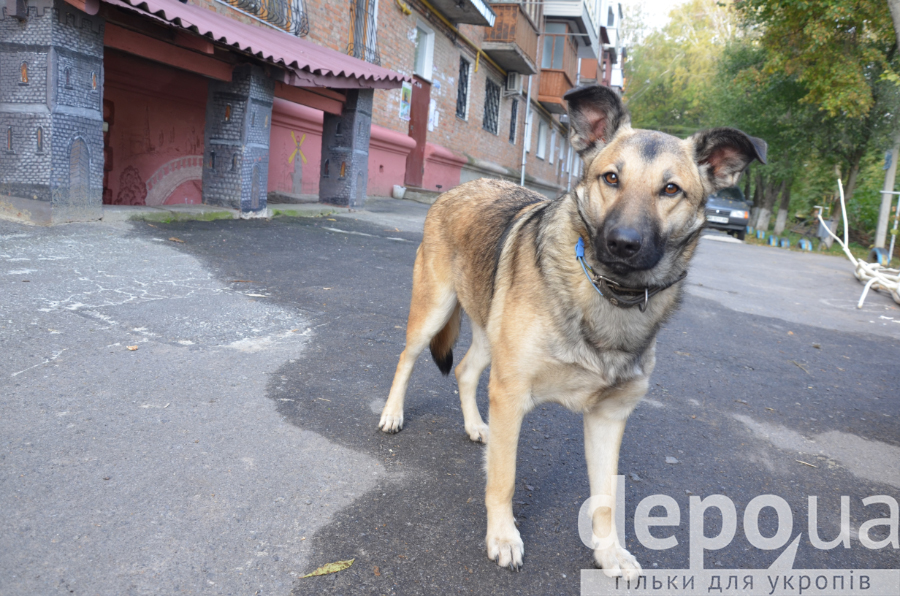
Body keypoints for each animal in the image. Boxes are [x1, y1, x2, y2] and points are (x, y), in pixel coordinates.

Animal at [378, 85, 768, 576]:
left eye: (671, 189)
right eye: (611, 178)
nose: (622, 243)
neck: (608, 295)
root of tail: (462, 186)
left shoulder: (608, 418)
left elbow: (605, 497)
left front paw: (609, 551)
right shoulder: (510, 396)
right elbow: (503, 479)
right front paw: (503, 536)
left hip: (488, 330)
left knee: (465, 371)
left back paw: (474, 426)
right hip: (433, 308)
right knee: (405, 358)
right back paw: (392, 414)